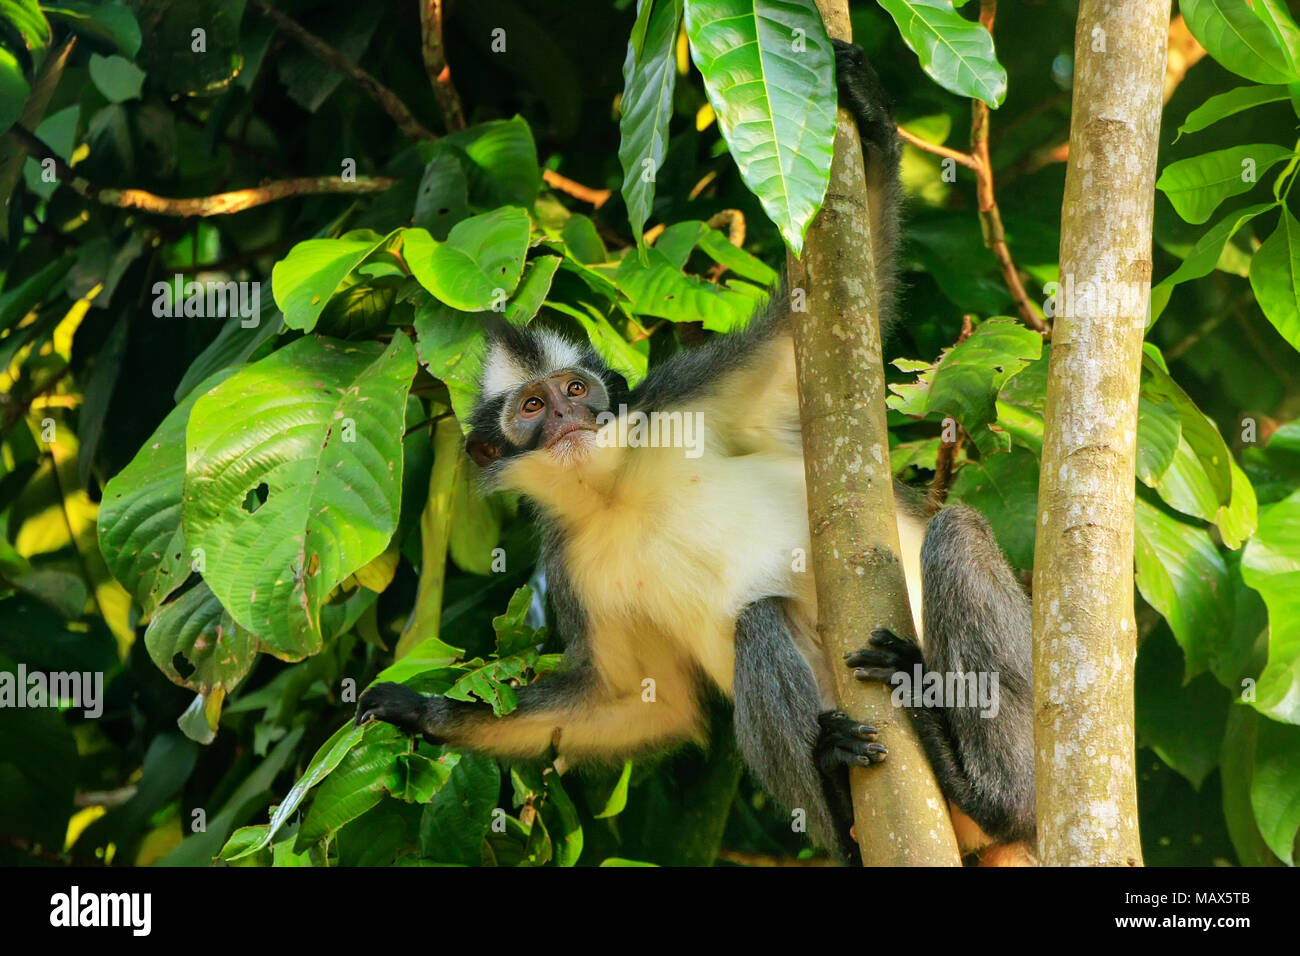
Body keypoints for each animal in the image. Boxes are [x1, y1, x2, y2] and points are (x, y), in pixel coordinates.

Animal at [357, 39, 1035, 865]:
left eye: (577, 391)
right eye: (532, 409)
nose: (568, 420)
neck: (617, 489)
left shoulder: (684, 396)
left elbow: (839, 309)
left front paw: (868, 110)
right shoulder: (570, 565)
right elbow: (644, 703)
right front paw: (427, 714)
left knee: (954, 533)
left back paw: (989, 789)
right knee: (760, 622)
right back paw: (838, 788)